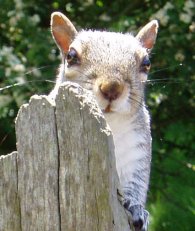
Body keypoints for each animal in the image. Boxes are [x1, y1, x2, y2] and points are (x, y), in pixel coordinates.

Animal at [50, 12, 158, 231]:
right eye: (71, 56)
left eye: (146, 63)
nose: (112, 87)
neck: (110, 124)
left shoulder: (138, 150)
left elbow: (137, 183)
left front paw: (138, 210)